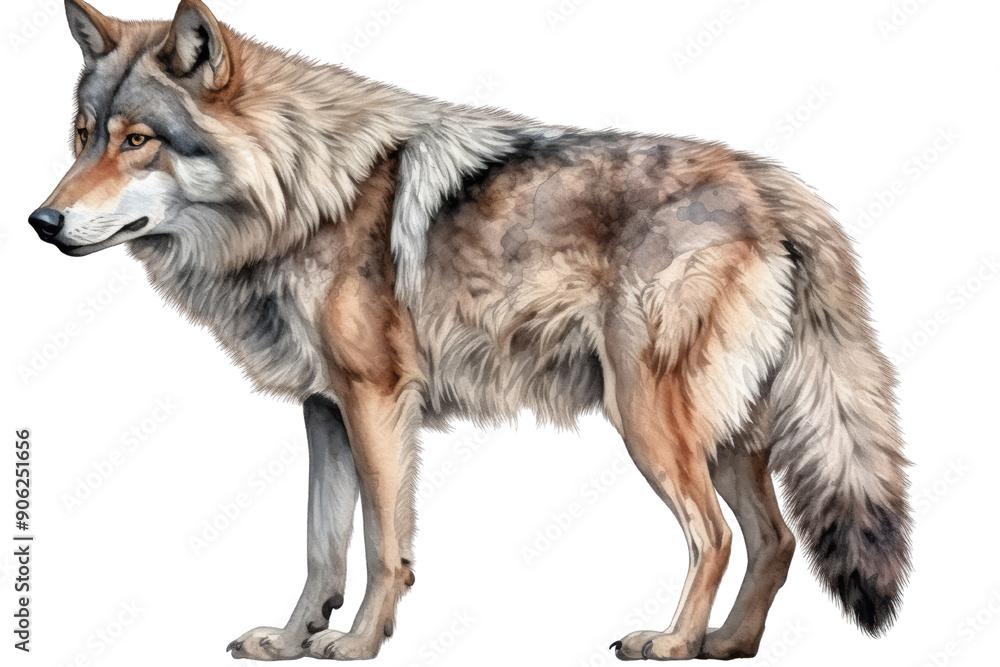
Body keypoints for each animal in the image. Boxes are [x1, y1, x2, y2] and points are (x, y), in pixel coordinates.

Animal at [29, 0, 911, 661]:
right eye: (82, 134)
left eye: (137, 140)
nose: (42, 222)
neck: (302, 194)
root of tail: (770, 185)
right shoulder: (326, 410)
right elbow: (321, 545)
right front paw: (291, 638)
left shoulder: (378, 401)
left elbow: (383, 544)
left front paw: (357, 643)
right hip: (720, 435)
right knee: (775, 539)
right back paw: (725, 643)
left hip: (650, 423)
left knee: (719, 535)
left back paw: (670, 641)